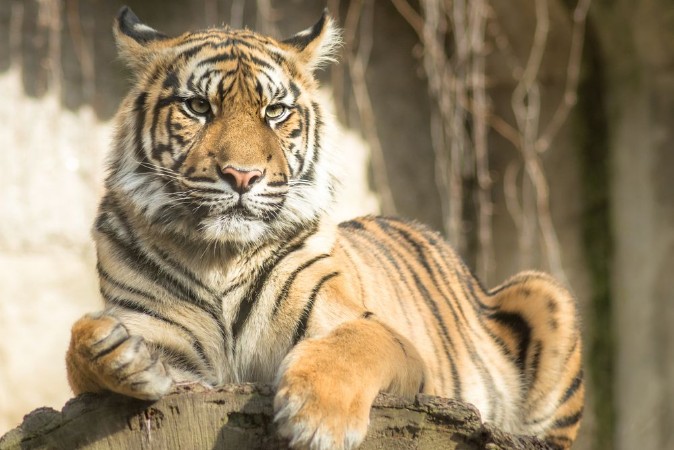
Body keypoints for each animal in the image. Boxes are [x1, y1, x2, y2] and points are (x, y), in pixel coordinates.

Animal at [65, 6, 585, 450]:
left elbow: (353, 345)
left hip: (545, 292)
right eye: (197, 106)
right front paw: (118, 353)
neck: (221, 256)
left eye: (275, 111)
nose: (242, 176)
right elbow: (78, 352)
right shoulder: (165, 344)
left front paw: (316, 418)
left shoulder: (375, 331)